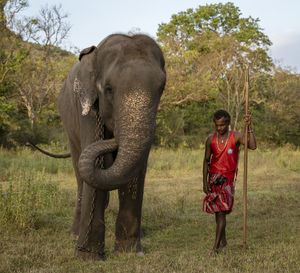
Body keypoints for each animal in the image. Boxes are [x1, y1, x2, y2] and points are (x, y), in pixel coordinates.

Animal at [58, 34, 166, 260]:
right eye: (108, 89)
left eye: (161, 88)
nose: (113, 132)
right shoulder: (87, 109)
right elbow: (97, 163)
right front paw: (87, 257)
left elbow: (136, 172)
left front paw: (131, 253)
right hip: (68, 125)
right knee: (79, 173)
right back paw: (74, 235)